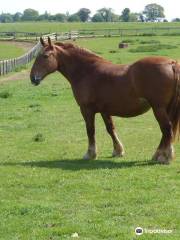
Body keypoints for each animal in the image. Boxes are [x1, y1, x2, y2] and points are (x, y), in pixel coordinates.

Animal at [30, 37, 179, 164]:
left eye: (45, 56)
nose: (33, 78)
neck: (87, 72)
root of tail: (171, 63)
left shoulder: (86, 110)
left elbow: (90, 130)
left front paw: (90, 154)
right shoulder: (104, 110)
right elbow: (110, 129)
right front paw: (118, 151)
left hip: (158, 108)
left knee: (167, 129)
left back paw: (165, 157)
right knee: (167, 131)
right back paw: (158, 155)